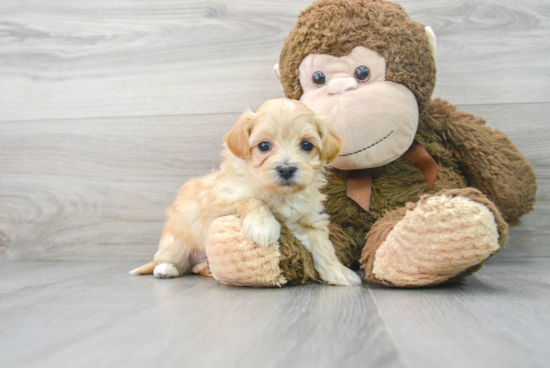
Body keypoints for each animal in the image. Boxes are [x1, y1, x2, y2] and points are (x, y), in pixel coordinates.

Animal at [132, 99, 364, 286]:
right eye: (264, 146)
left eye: (306, 145)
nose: (286, 169)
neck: (278, 194)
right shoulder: (220, 202)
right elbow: (250, 199)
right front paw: (263, 226)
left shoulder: (309, 220)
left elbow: (324, 246)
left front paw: (338, 272)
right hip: (176, 243)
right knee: (170, 261)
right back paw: (165, 269)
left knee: (195, 268)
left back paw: (206, 269)